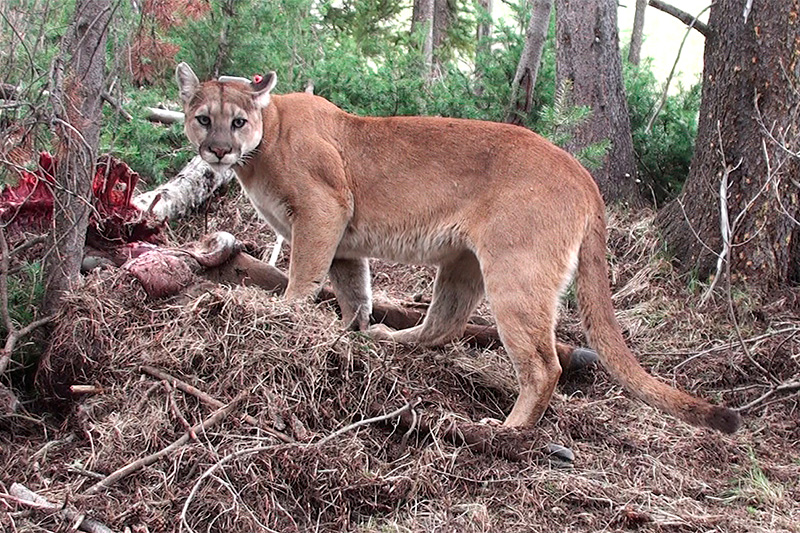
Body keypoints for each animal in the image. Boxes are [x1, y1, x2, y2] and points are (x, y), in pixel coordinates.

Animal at [178, 63, 740, 436]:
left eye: (237, 121)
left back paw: (506, 430)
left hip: (514, 274)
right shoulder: (343, 242)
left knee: (543, 366)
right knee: (443, 326)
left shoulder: (324, 211)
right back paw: (390, 339)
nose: (217, 151)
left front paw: (281, 318)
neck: (263, 145)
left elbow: (302, 276)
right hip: (462, 263)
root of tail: (583, 173)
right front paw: (349, 335)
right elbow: (355, 292)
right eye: (204, 119)